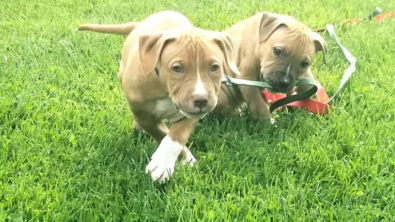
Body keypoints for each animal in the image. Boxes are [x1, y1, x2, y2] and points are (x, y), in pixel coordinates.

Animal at [77, 10, 238, 184]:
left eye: (215, 67)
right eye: (177, 68)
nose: (201, 100)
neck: (164, 89)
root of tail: (138, 25)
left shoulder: (189, 115)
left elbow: (176, 137)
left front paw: (172, 161)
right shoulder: (142, 114)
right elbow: (160, 132)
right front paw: (167, 162)